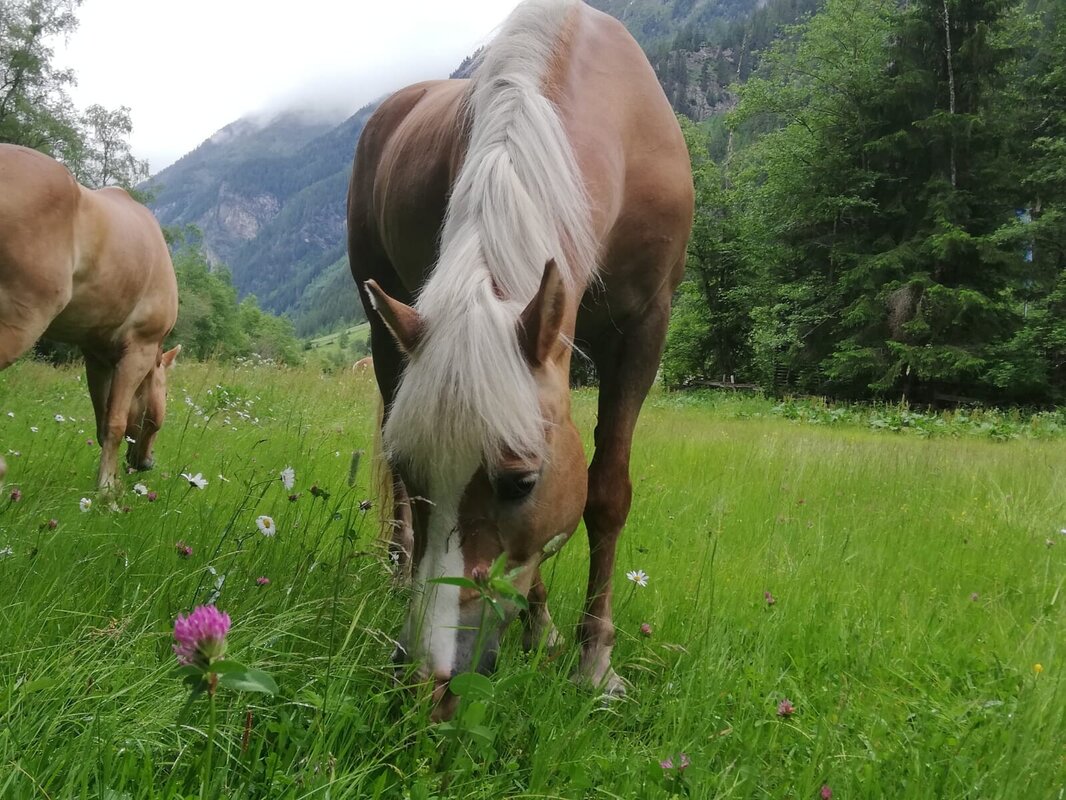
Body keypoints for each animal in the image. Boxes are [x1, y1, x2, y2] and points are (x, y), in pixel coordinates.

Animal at [0, 144, 181, 492]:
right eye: (165, 393)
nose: (147, 463)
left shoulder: (97, 357)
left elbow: (102, 422)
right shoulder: (137, 351)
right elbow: (115, 424)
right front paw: (107, 490)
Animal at [347, 0, 693, 719]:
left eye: (519, 482)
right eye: (417, 467)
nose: (427, 684)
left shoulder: (646, 326)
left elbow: (604, 490)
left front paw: (592, 660)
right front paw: (544, 627)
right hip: (382, 326)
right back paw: (397, 567)